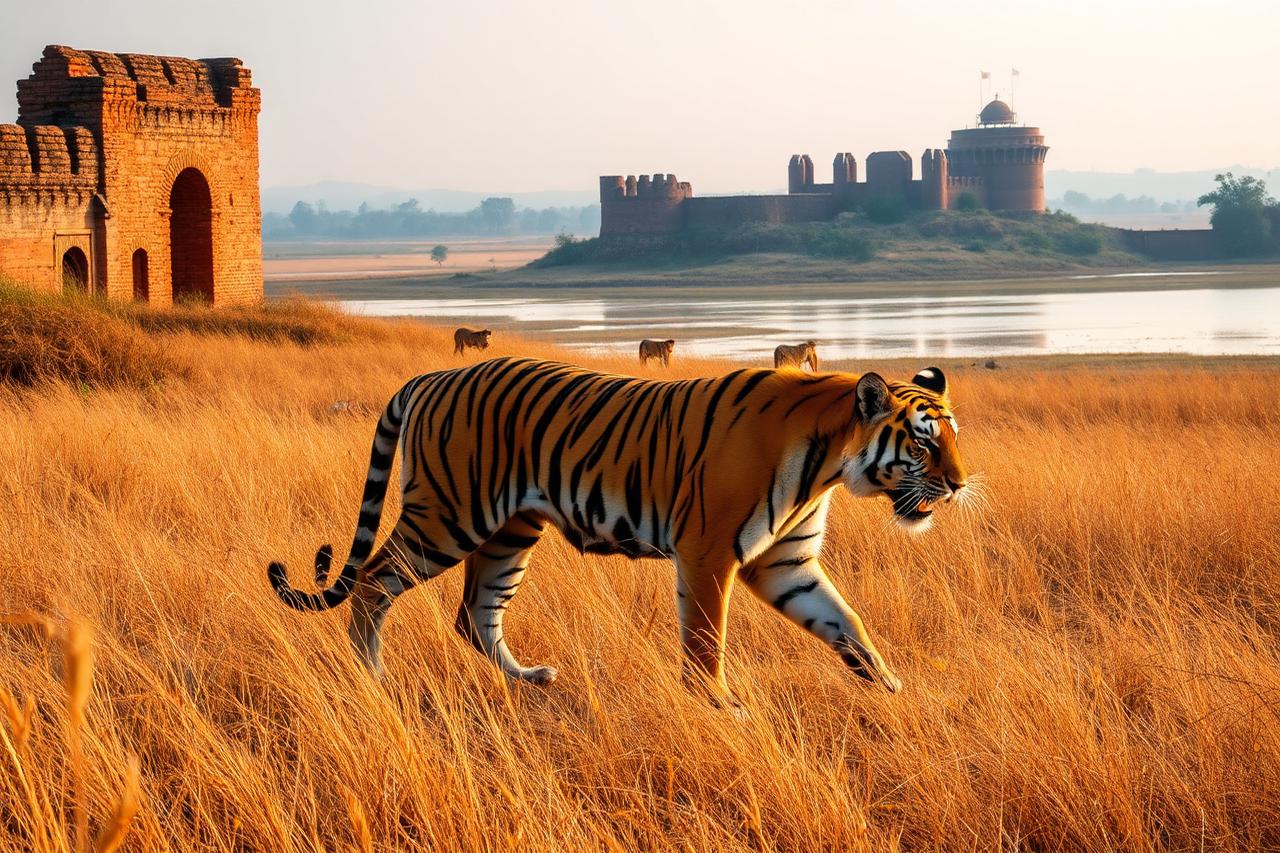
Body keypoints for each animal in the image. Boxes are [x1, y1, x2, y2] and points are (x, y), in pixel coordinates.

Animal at [268, 358, 968, 707]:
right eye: (923, 443)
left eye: (953, 437)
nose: (960, 485)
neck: (829, 463)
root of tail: (431, 376)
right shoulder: (709, 553)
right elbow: (705, 641)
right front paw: (720, 708)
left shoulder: (785, 565)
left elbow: (848, 624)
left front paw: (893, 690)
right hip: (446, 519)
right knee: (372, 584)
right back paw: (372, 679)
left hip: (510, 532)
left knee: (473, 615)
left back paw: (532, 680)